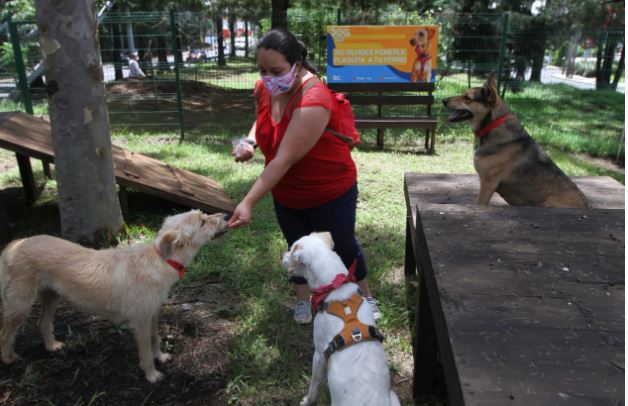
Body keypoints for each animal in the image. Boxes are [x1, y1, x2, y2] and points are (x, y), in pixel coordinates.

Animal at [0, 211, 229, 382]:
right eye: (202, 221)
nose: (227, 215)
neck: (159, 260)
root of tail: (15, 244)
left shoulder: (152, 314)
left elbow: (155, 338)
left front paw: (161, 357)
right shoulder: (140, 320)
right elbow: (145, 350)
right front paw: (151, 374)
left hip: (52, 297)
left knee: (42, 322)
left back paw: (51, 346)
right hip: (20, 305)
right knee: (5, 332)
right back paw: (8, 358)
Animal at [282, 232, 400, 406]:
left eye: (291, 250)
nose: (280, 256)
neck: (334, 286)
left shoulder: (319, 355)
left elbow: (314, 384)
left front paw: (308, 400)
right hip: (394, 396)